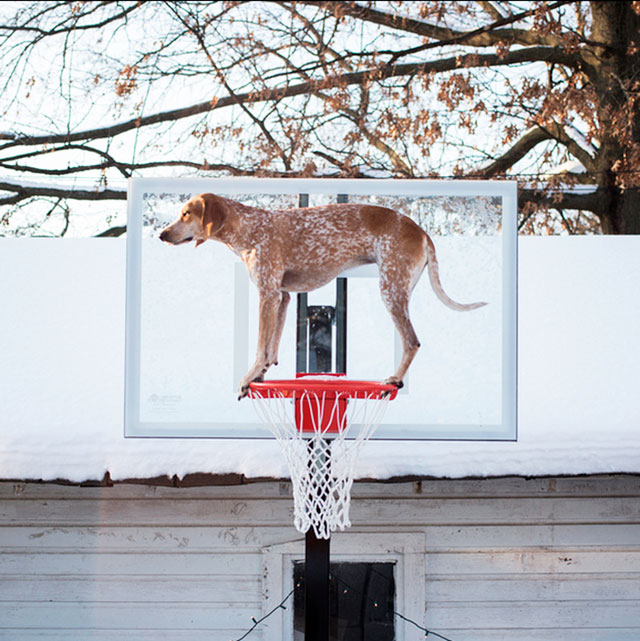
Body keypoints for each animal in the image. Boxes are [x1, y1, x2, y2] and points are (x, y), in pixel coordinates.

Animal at [159, 192, 484, 398]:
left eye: (186, 213)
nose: (162, 235)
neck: (249, 226)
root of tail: (419, 230)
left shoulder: (267, 294)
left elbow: (261, 347)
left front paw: (249, 377)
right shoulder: (282, 297)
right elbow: (271, 349)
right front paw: (260, 374)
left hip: (391, 290)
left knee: (412, 341)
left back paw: (394, 379)